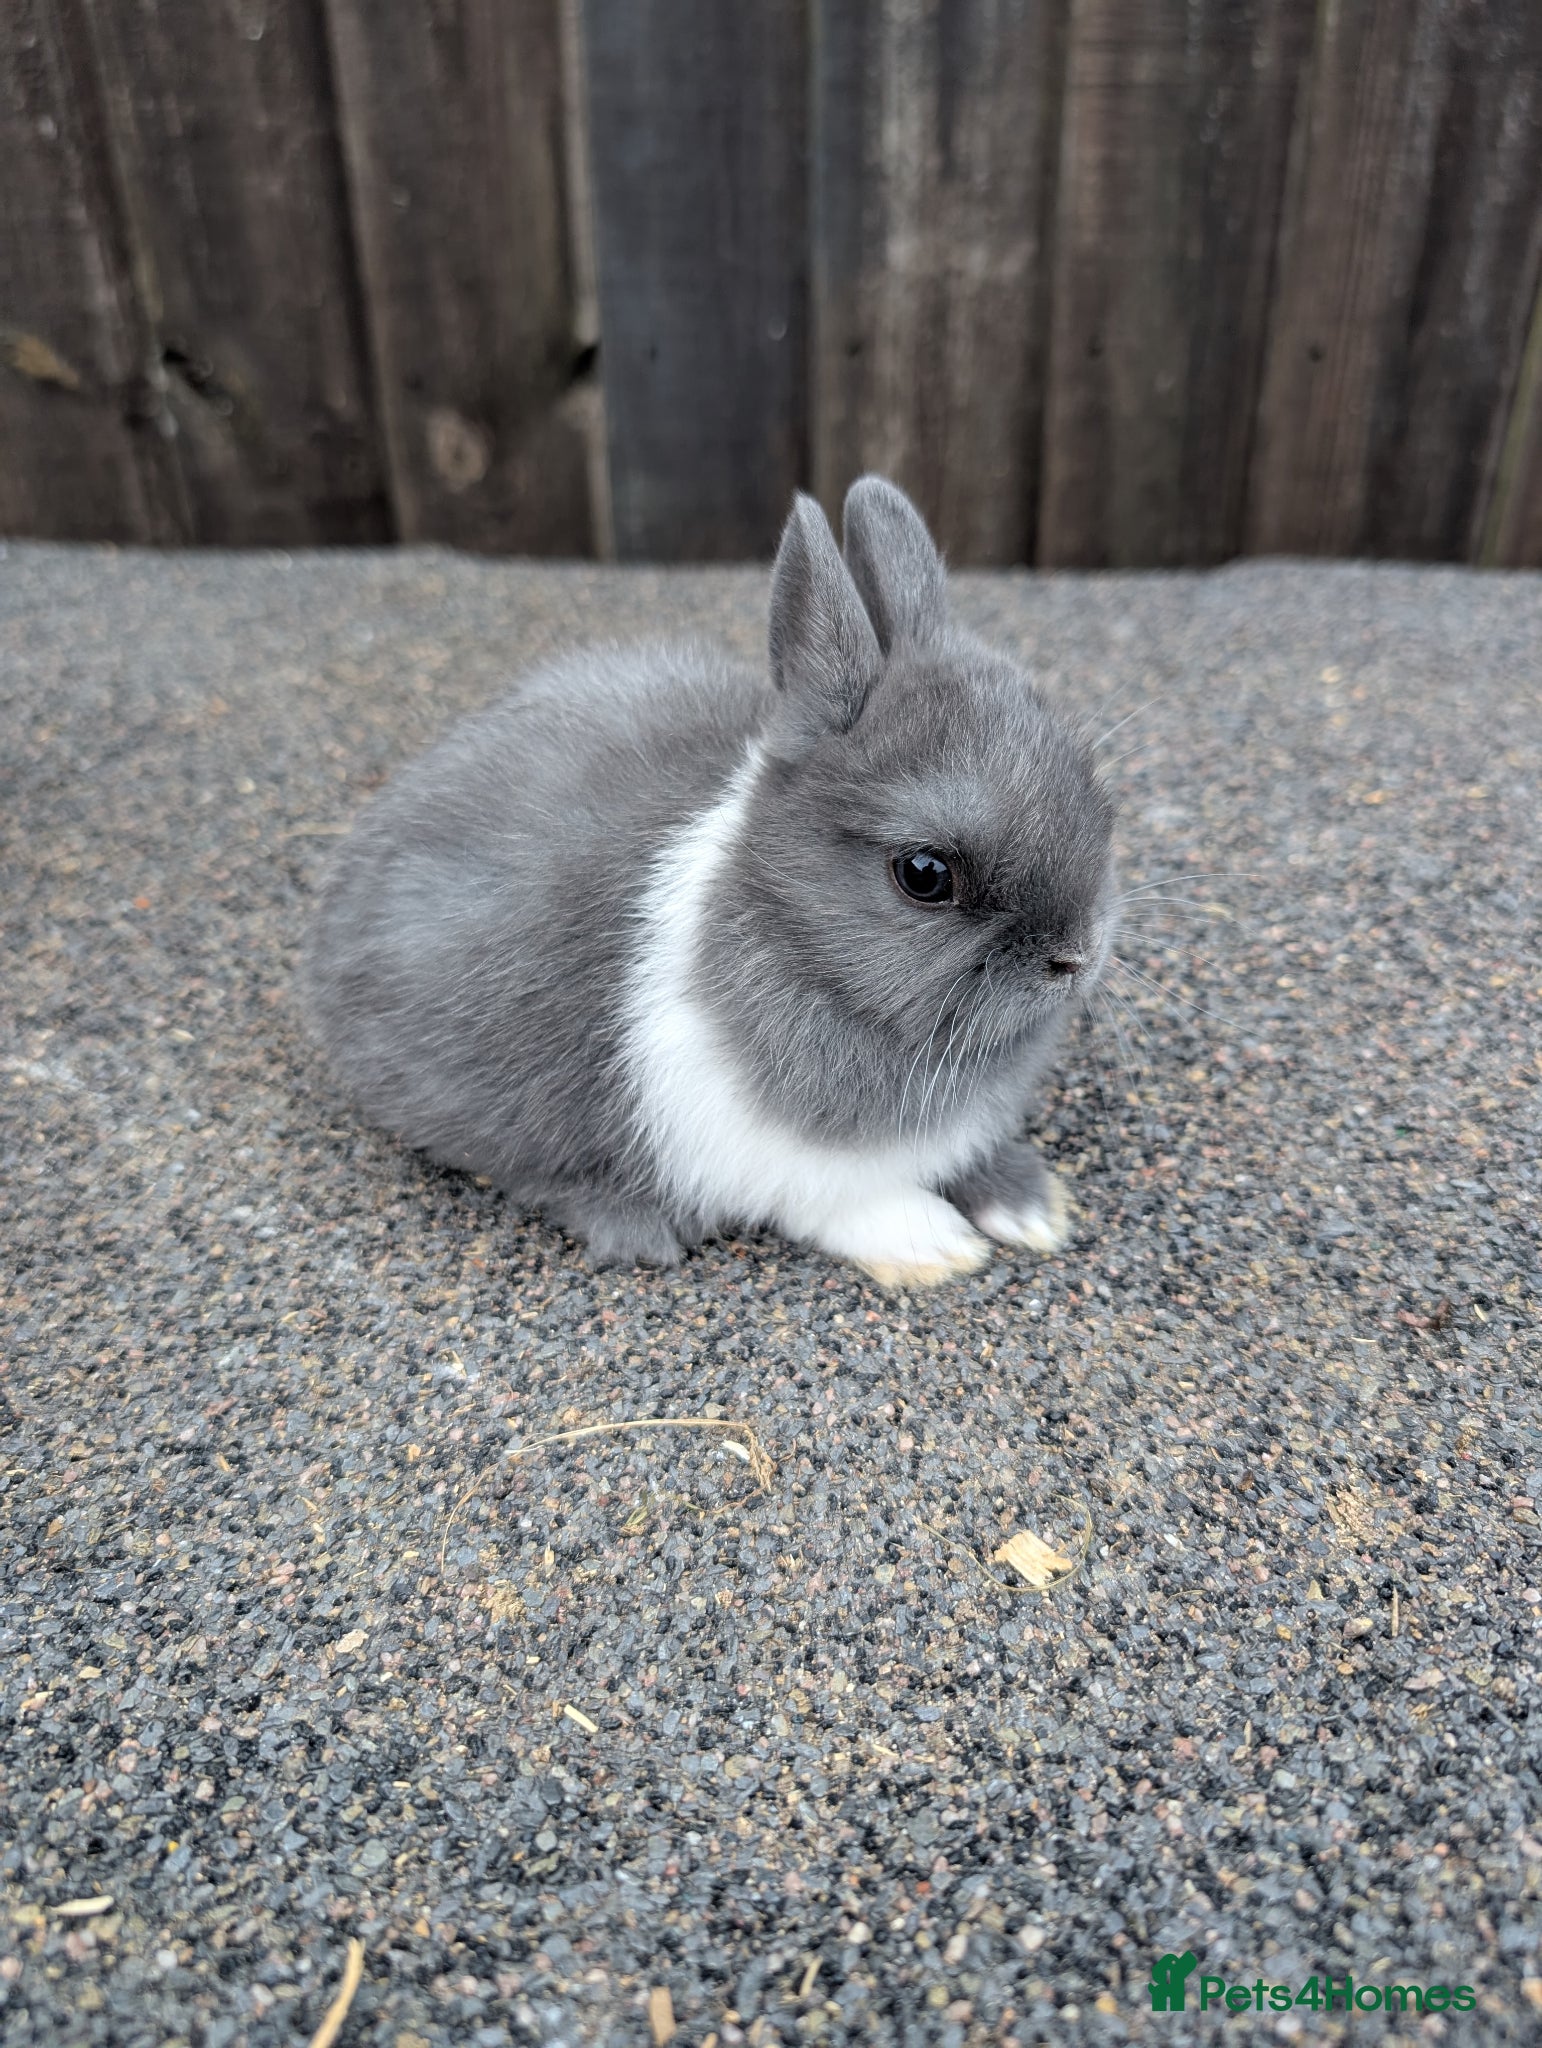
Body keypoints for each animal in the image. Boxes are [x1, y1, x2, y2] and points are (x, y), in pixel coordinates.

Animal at [300, 476, 1118, 1287]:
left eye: (1094, 798)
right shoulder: (762, 1158)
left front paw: (1034, 1208)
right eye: (925, 875)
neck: (793, 937)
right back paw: (635, 1224)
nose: (1074, 958)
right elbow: (843, 1202)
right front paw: (939, 1247)